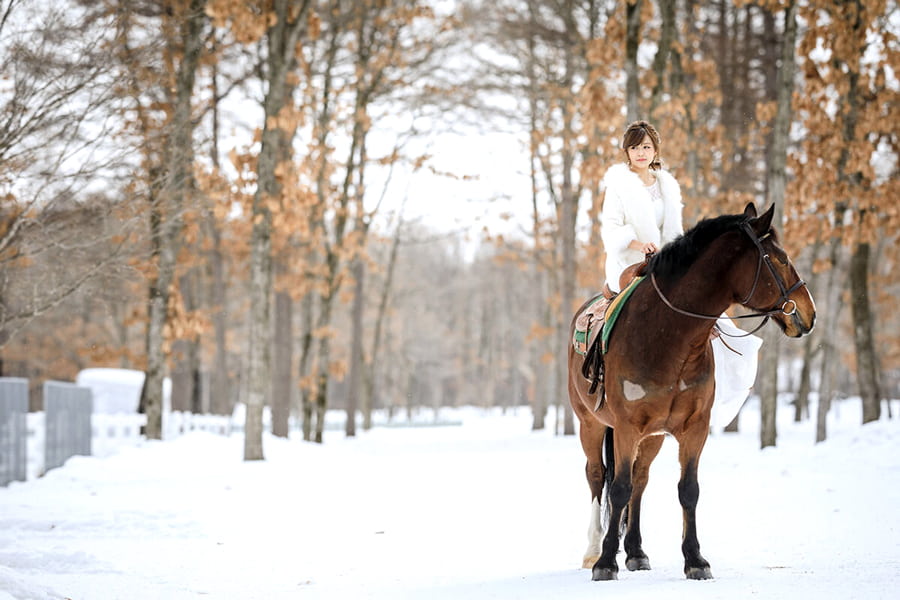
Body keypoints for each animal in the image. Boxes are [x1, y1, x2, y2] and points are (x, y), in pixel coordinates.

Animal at [568, 204, 816, 580]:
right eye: (781, 259)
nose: (809, 311)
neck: (666, 335)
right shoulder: (625, 427)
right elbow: (618, 489)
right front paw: (606, 562)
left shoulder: (694, 427)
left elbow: (687, 490)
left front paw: (695, 559)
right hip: (591, 424)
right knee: (597, 477)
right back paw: (593, 550)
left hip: (653, 436)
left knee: (640, 480)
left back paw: (636, 552)